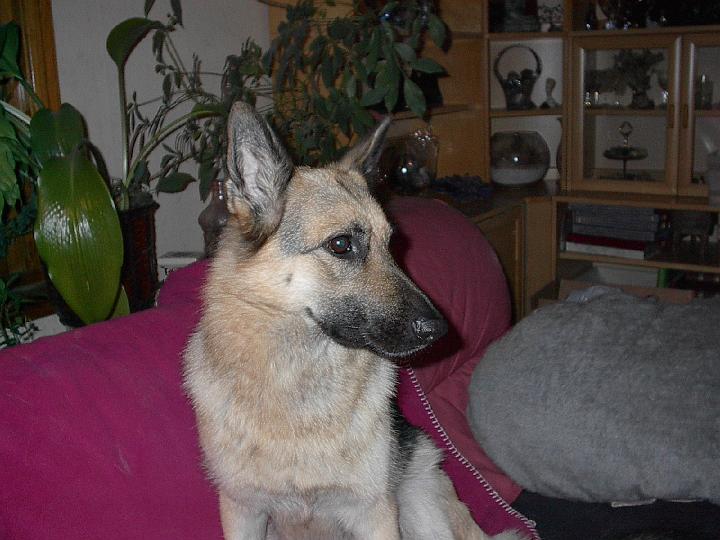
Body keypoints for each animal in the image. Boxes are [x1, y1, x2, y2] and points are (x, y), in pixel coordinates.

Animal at [183, 101, 526, 540]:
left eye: (392, 244)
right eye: (341, 244)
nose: (441, 331)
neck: (298, 379)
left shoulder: (374, 513)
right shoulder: (244, 512)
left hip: (418, 500)